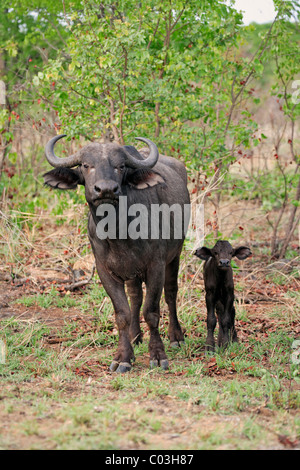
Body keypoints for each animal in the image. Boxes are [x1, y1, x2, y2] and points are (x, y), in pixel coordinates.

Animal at [44, 134, 190, 372]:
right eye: (86, 165)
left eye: (121, 166)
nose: (105, 190)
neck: (119, 232)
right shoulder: (106, 271)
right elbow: (122, 313)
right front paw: (123, 357)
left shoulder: (156, 266)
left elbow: (152, 311)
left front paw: (158, 355)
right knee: (135, 297)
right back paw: (134, 336)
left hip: (175, 255)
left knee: (170, 293)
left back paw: (176, 336)